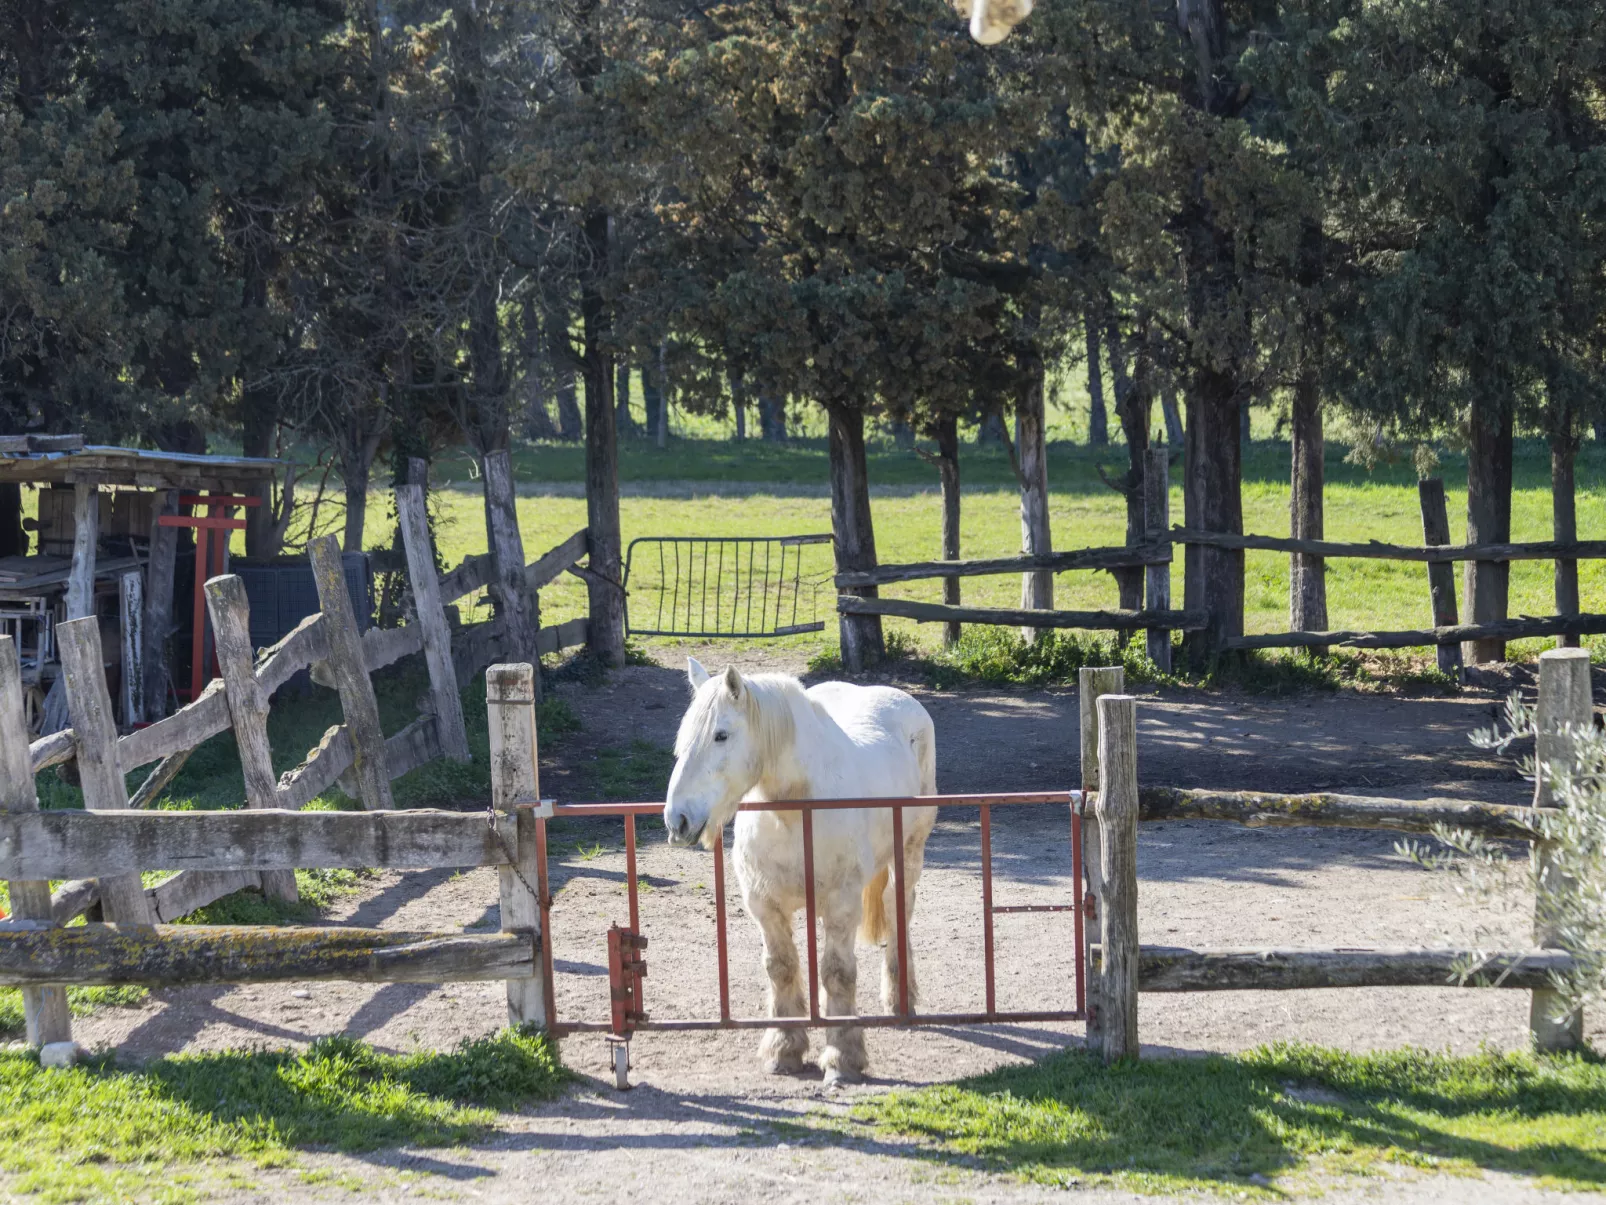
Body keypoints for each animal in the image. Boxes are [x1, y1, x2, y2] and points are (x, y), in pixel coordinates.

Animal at [664, 661, 937, 1086]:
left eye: (721, 735)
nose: (677, 820)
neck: (794, 810)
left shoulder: (842, 905)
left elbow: (838, 973)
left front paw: (843, 1058)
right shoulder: (766, 906)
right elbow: (782, 968)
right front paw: (784, 1050)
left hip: (908, 853)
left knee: (898, 912)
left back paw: (899, 1000)